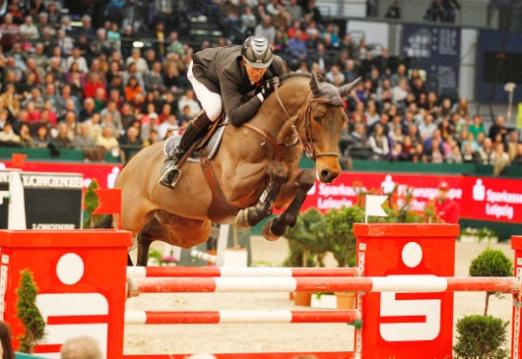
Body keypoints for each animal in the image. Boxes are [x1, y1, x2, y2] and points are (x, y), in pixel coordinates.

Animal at [114, 72, 358, 268]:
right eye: (317, 118)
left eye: (344, 119)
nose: (329, 172)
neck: (270, 133)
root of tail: (128, 166)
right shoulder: (233, 185)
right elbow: (276, 171)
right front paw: (251, 214)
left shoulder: (284, 188)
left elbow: (303, 178)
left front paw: (276, 226)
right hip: (129, 220)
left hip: (188, 227)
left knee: (146, 235)